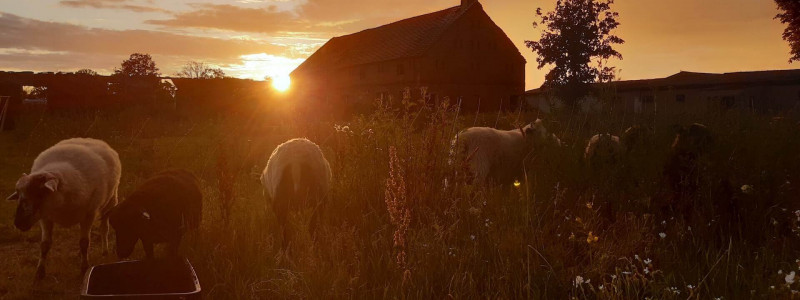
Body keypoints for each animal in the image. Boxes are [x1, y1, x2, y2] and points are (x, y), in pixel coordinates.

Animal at [5, 137, 121, 280]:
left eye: (39, 193)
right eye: (18, 194)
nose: (19, 223)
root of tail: (91, 139)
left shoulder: (89, 214)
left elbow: (84, 242)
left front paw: (84, 268)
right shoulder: (45, 217)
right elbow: (45, 245)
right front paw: (39, 273)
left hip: (110, 201)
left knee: (104, 228)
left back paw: (105, 251)